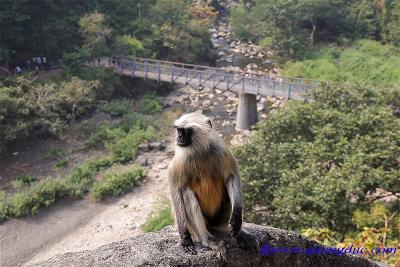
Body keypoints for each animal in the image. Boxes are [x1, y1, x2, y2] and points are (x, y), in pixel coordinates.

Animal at [166, 112, 256, 254]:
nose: (179, 137)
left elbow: (232, 177)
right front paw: (185, 239)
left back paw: (239, 234)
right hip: (203, 224)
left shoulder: (221, 151)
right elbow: (176, 190)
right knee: (186, 193)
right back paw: (209, 241)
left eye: (186, 131)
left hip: (220, 220)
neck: (200, 151)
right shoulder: (180, 160)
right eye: (179, 130)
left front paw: (237, 218)